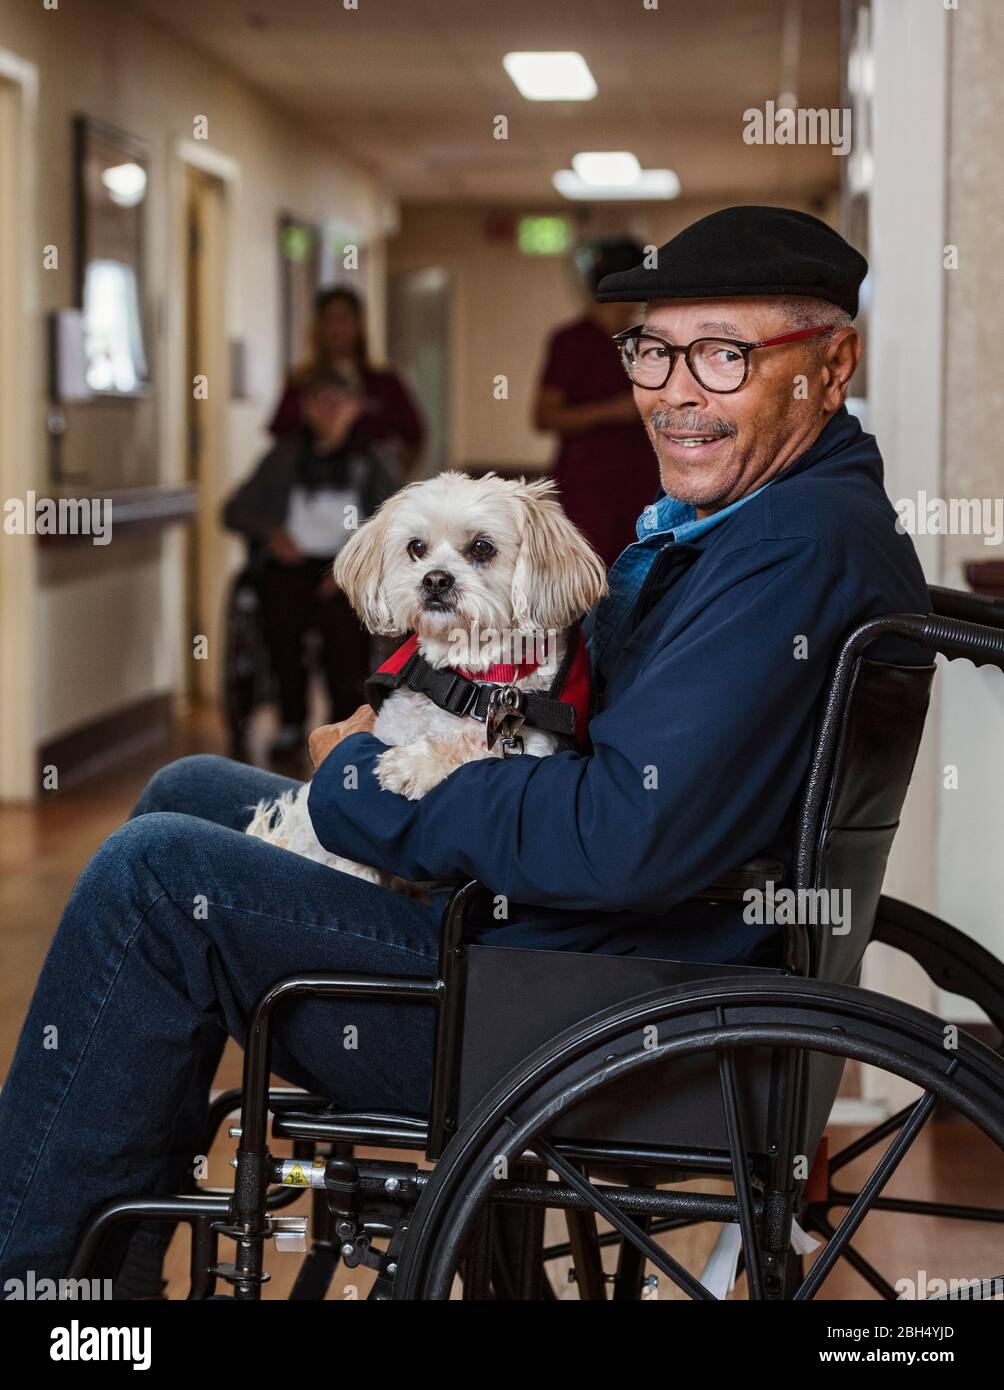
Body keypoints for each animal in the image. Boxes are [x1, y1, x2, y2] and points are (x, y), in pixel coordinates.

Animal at [244, 472, 603, 889]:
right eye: (417, 547)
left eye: (482, 547)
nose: (435, 579)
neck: (470, 687)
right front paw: (358, 870)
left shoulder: (532, 754)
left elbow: (476, 751)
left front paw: (415, 765)